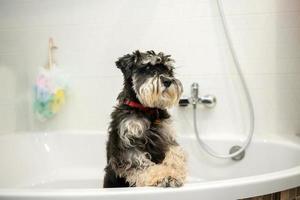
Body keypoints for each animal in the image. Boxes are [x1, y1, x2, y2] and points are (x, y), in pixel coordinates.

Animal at [104, 50, 186, 188]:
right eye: (148, 68)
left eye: (168, 70)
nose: (168, 81)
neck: (147, 109)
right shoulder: (128, 144)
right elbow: (142, 165)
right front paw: (163, 177)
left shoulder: (166, 138)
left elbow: (175, 155)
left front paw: (175, 174)